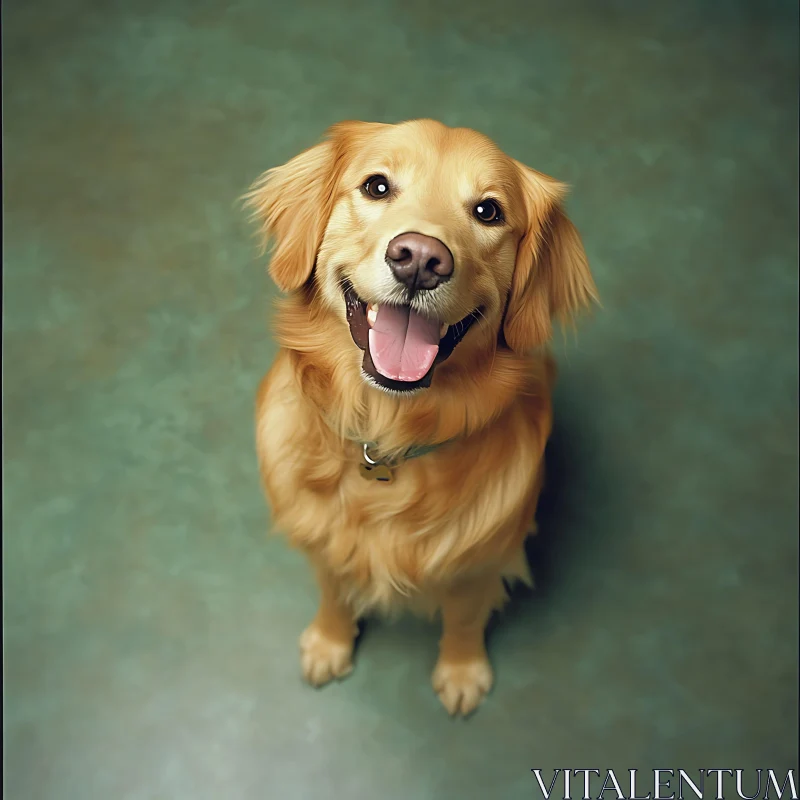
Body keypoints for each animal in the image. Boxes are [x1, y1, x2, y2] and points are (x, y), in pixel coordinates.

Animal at [247, 117, 596, 712]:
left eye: (488, 211)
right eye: (377, 186)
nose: (420, 259)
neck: (384, 439)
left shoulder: (478, 565)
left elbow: (464, 621)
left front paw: (461, 671)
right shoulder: (322, 544)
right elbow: (335, 594)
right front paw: (330, 642)